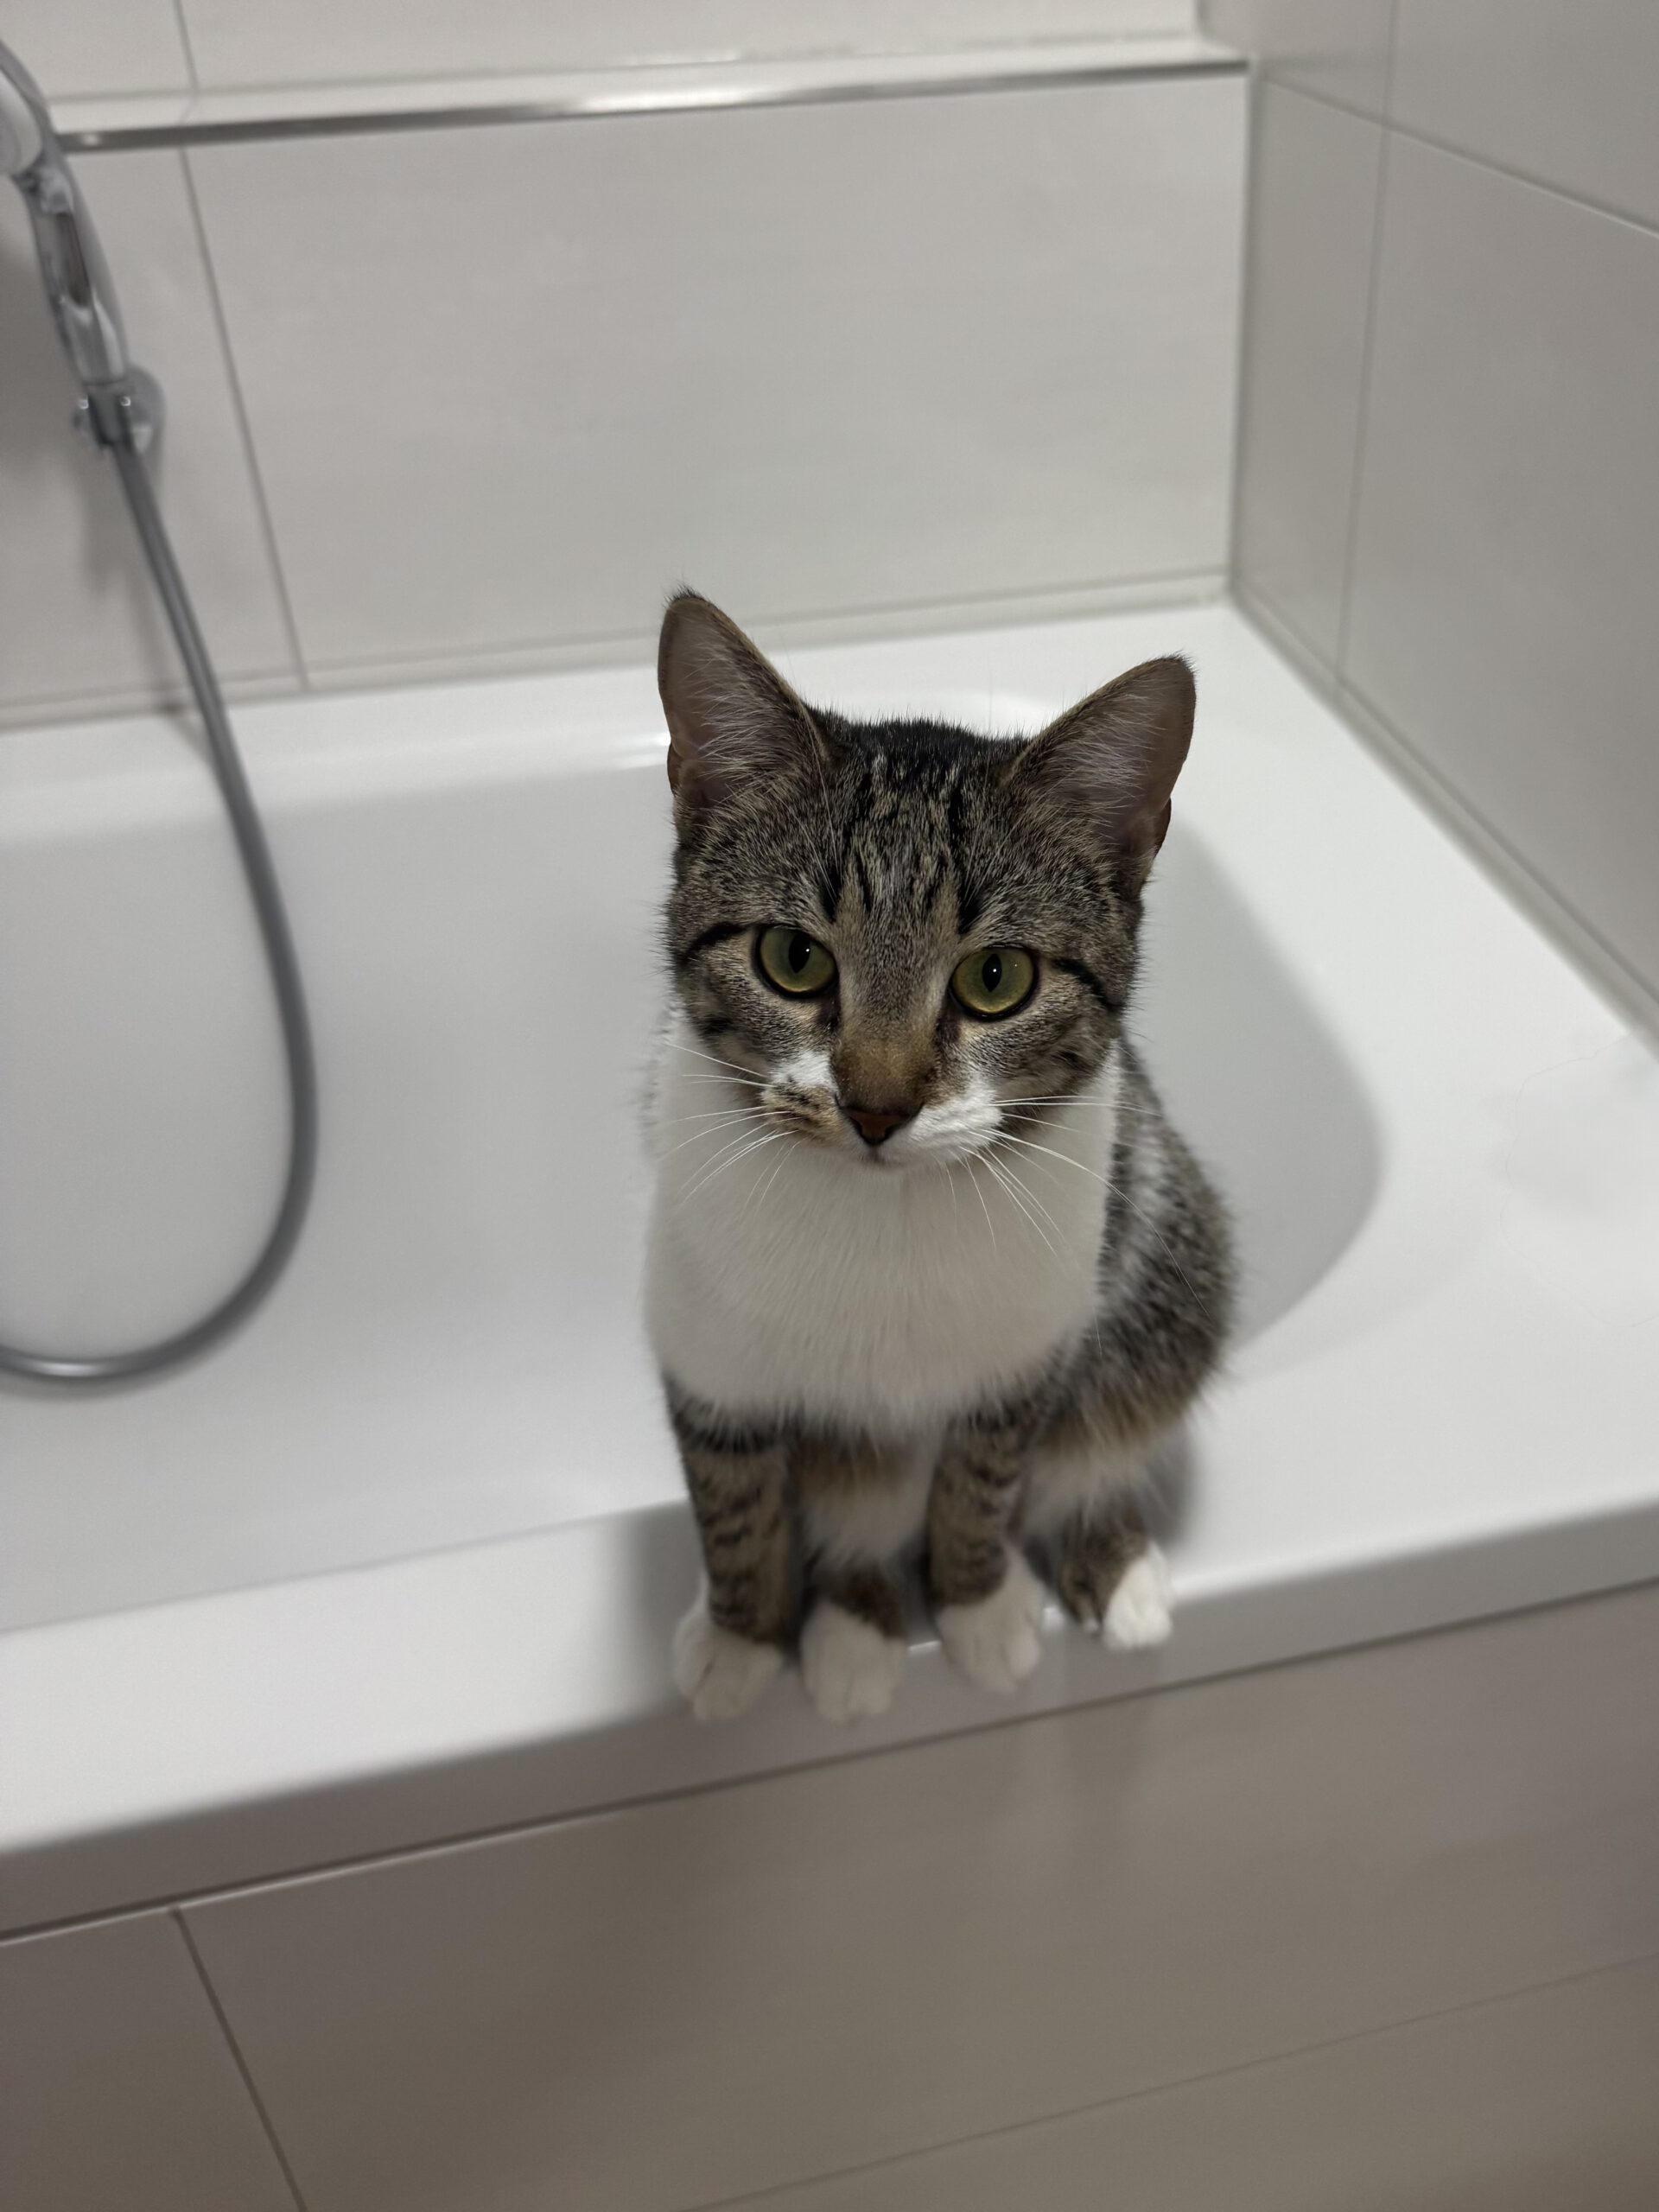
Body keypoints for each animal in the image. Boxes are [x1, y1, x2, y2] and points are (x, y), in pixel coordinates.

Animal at [643, 591, 1234, 1724]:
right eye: (793, 959)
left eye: (995, 977)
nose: (877, 1107)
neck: (886, 1217)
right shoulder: (709, 1353)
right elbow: (734, 1497)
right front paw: (744, 1635)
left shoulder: (1029, 1349)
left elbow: (986, 1476)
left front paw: (977, 1603)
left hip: (1166, 1253)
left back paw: (1113, 1563)